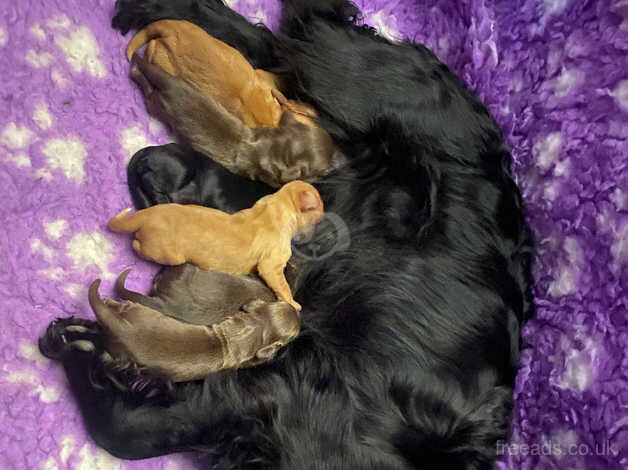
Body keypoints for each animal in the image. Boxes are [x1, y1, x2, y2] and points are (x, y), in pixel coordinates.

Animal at [89, 280, 300, 382]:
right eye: (294, 334)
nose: (298, 313)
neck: (254, 328)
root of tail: (120, 326)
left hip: (135, 312)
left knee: (121, 306)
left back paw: (110, 301)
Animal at [106, 182, 324, 310]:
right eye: (319, 210)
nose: (323, 216)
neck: (276, 207)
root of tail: (148, 215)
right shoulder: (271, 266)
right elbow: (283, 286)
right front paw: (293, 303)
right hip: (166, 254)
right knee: (136, 244)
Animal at [129, 51, 344, 187]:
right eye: (322, 170)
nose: (342, 160)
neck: (273, 146)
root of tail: (171, 85)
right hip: (156, 104)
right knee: (147, 91)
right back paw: (136, 73)